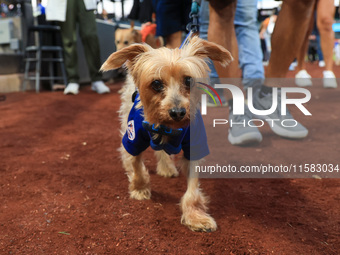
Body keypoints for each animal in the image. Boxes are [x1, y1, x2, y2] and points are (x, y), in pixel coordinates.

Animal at [101, 36, 232, 232]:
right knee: (127, 152)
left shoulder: (195, 145)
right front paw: (139, 187)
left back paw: (166, 168)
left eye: (188, 81)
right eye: (156, 84)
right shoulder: (134, 137)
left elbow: (192, 189)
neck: (166, 127)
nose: (178, 112)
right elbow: (136, 163)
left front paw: (195, 217)